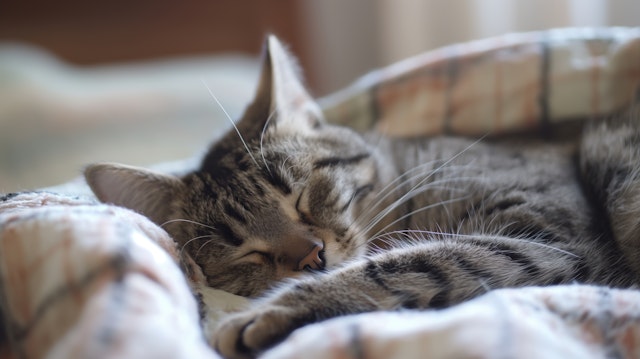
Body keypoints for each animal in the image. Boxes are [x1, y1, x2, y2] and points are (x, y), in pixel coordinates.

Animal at [85, 34, 640, 359]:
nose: (310, 257)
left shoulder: (551, 241)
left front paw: (264, 314)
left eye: (299, 195)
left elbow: (406, 263)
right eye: (244, 250)